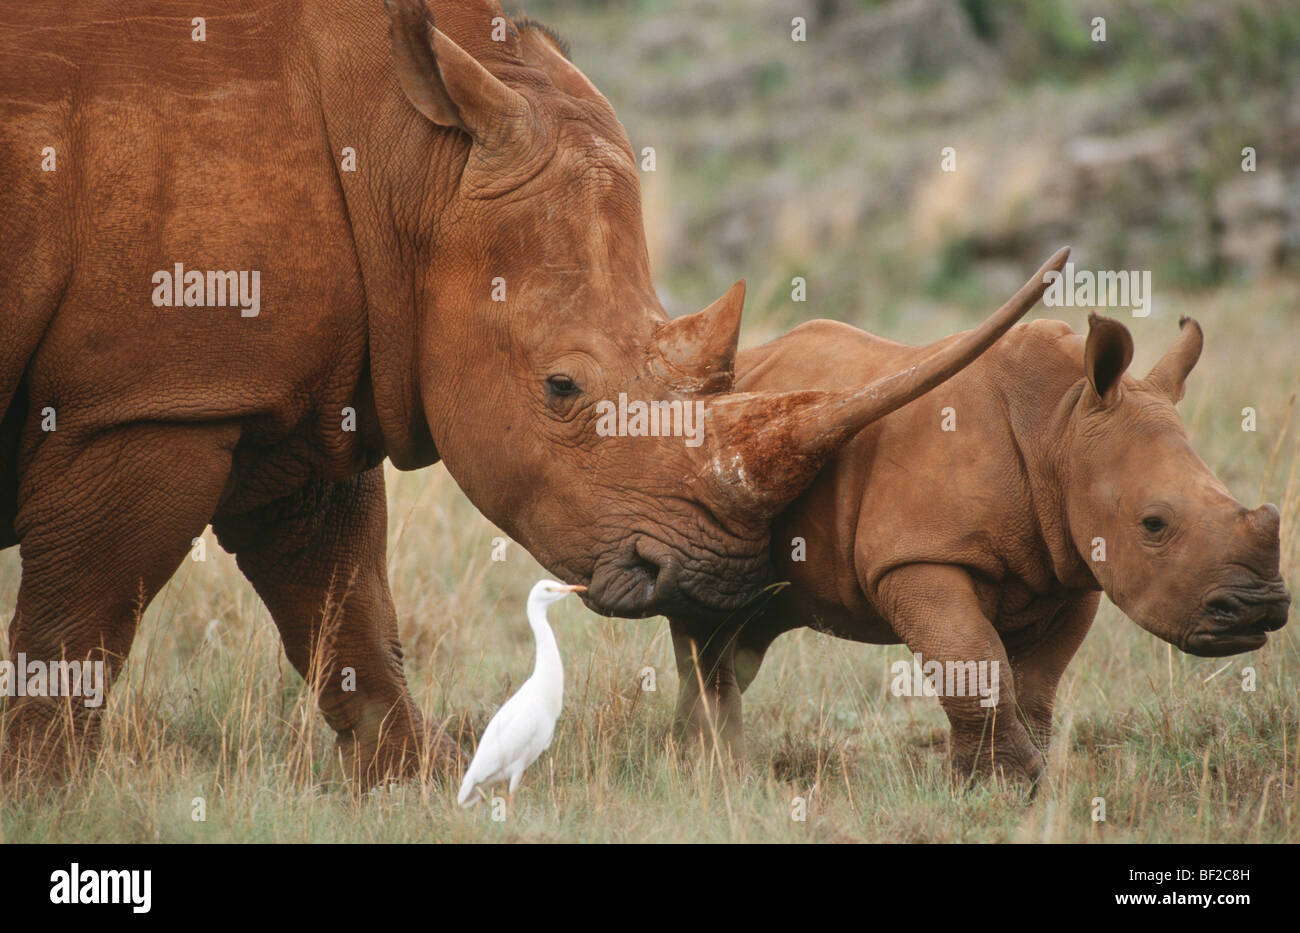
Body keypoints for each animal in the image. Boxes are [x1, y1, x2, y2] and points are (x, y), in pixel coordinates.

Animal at [670, 311, 1289, 779]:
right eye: (1154, 524)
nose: (1256, 610)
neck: (1058, 425)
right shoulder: (919, 555)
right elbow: (973, 662)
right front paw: (1006, 784)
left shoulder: (1069, 565)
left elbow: (1036, 681)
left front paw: (1018, 780)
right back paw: (713, 772)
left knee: (739, 637)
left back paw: (698, 766)